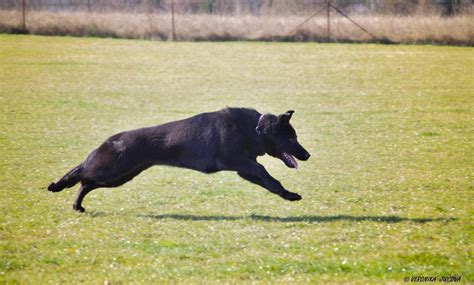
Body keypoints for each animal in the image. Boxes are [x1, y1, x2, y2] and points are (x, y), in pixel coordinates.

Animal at [48, 107, 312, 212]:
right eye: (291, 139)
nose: (307, 155)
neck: (255, 129)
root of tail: (113, 139)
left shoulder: (246, 169)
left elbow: (269, 182)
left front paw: (287, 195)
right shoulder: (245, 164)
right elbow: (270, 178)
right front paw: (290, 195)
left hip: (122, 176)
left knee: (86, 183)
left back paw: (77, 205)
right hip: (114, 171)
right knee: (82, 173)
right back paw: (58, 185)